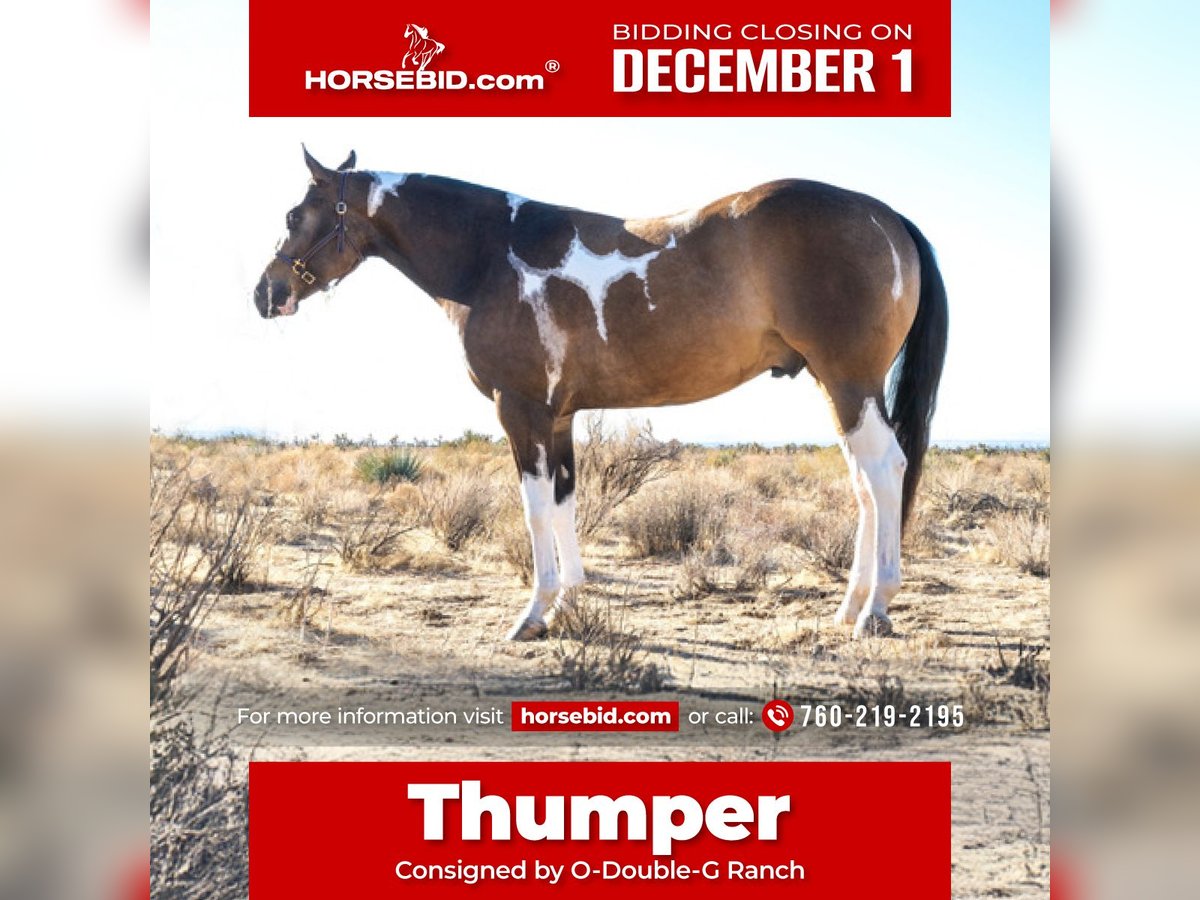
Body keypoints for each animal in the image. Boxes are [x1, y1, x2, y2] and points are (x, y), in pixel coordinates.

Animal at [255, 148, 948, 641]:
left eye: (293, 216)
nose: (266, 294)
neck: (489, 255)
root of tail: (887, 217)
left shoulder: (521, 410)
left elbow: (535, 509)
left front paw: (533, 614)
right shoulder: (558, 417)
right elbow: (565, 503)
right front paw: (568, 602)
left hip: (850, 381)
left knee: (884, 471)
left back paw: (875, 610)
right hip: (838, 388)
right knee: (866, 483)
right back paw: (850, 605)